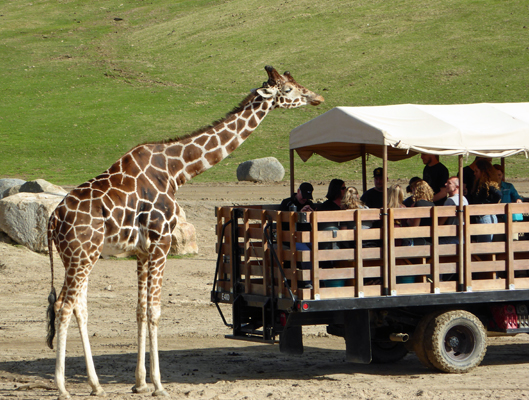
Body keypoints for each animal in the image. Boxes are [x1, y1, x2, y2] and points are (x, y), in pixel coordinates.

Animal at [47, 65, 324, 396]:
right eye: (289, 89)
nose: (317, 97)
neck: (178, 172)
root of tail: (53, 220)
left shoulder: (142, 251)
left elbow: (140, 310)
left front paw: (140, 383)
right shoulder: (161, 243)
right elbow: (154, 312)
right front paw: (158, 384)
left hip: (77, 257)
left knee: (79, 307)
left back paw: (96, 385)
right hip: (82, 254)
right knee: (63, 305)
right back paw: (62, 387)